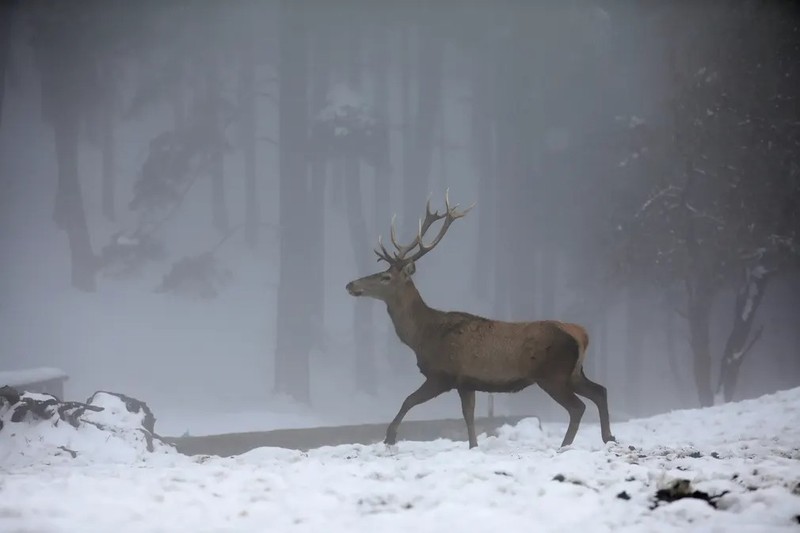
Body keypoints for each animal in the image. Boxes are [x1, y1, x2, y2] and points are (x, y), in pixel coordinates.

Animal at [342, 191, 612, 448]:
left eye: (385, 277)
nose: (350, 284)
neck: (422, 336)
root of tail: (581, 334)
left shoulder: (444, 374)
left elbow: (409, 400)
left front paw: (389, 437)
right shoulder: (467, 382)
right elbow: (468, 415)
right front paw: (473, 445)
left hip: (552, 374)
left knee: (578, 407)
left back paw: (566, 445)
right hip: (574, 372)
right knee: (600, 391)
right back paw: (608, 437)